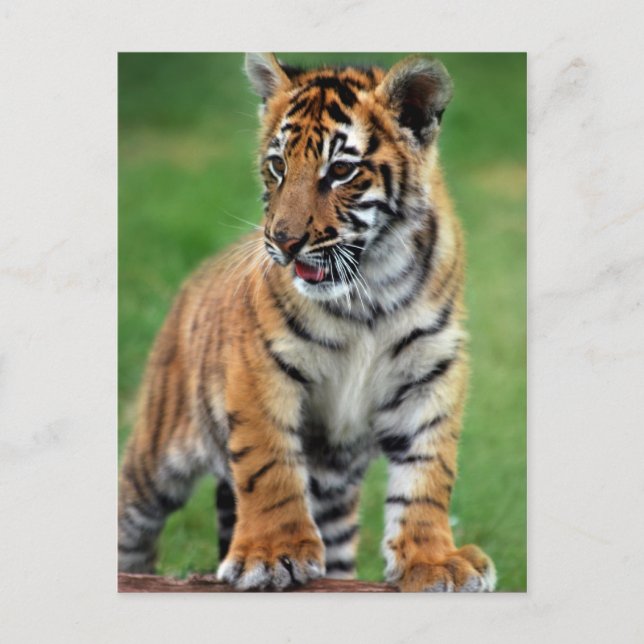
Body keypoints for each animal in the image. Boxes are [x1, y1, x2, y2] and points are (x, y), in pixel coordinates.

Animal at [118, 52, 496, 592]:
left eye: (340, 170)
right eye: (278, 166)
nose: (284, 241)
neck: (369, 292)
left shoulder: (432, 370)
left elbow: (428, 474)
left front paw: (434, 559)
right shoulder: (259, 368)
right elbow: (268, 463)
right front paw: (271, 554)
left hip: (335, 498)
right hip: (157, 450)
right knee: (131, 517)